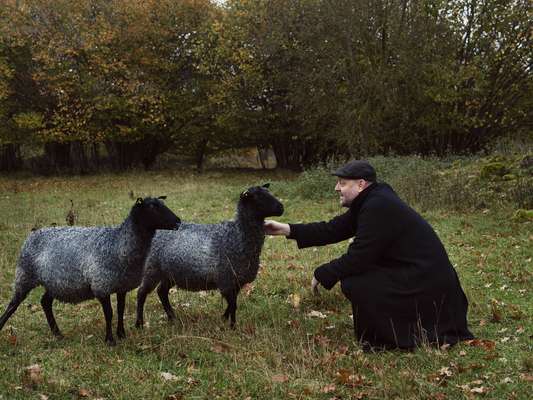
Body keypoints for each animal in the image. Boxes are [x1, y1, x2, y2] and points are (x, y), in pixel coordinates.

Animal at [0, 196, 181, 344]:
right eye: (152, 207)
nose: (178, 222)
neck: (119, 243)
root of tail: (32, 235)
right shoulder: (101, 285)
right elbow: (109, 313)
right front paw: (110, 340)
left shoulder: (121, 285)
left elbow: (120, 310)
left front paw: (122, 334)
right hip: (25, 275)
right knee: (13, 304)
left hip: (55, 282)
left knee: (45, 302)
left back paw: (58, 334)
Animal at [134, 184, 282, 328]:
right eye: (258, 197)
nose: (281, 208)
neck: (237, 235)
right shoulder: (226, 280)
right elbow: (233, 305)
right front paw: (232, 327)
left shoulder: (237, 282)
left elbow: (232, 305)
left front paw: (224, 319)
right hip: (152, 269)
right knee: (142, 293)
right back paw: (139, 324)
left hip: (170, 272)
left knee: (162, 292)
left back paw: (173, 318)